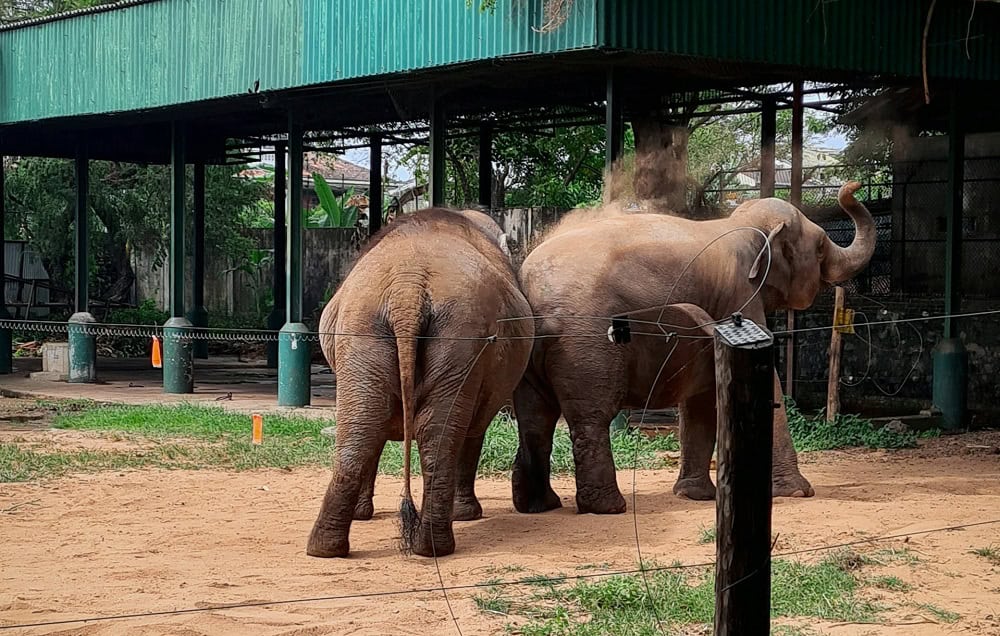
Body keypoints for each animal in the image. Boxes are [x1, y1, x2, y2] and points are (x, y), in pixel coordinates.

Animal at [308, 209, 536, 556]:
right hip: (447, 332)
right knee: (427, 430)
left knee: (366, 427)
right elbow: (474, 428)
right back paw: (433, 544)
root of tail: (408, 287)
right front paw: (468, 516)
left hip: (376, 331)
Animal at [512, 181, 872, 516]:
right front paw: (797, 492)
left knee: (535, 418)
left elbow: (702, 396)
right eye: (821, 248)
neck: (739, 223)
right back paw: (607, 508)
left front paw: (693, 495)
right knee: (591, 416)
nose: (852, 186)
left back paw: (540, 505)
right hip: (588, 341)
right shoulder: (738, 297)